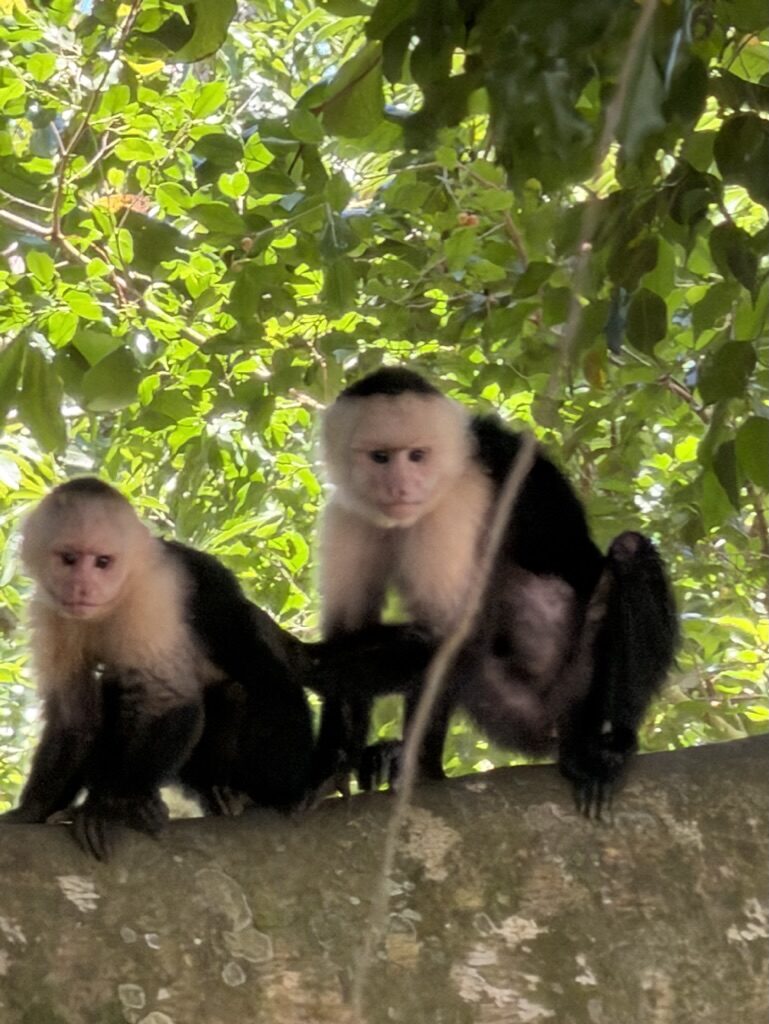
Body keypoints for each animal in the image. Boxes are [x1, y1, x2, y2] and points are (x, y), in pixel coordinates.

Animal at [312, 367, 679, 813]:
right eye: (380, 458)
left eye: (417, 456)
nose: (400, 487)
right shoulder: (348, 513)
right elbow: (356, 630)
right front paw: (326, 767)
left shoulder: (460, 500)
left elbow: (452, 635)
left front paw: (299, 660)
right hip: (509, 707)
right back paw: (416, 766)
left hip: (577, 693)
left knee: (628, 551)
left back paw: (609, 744)